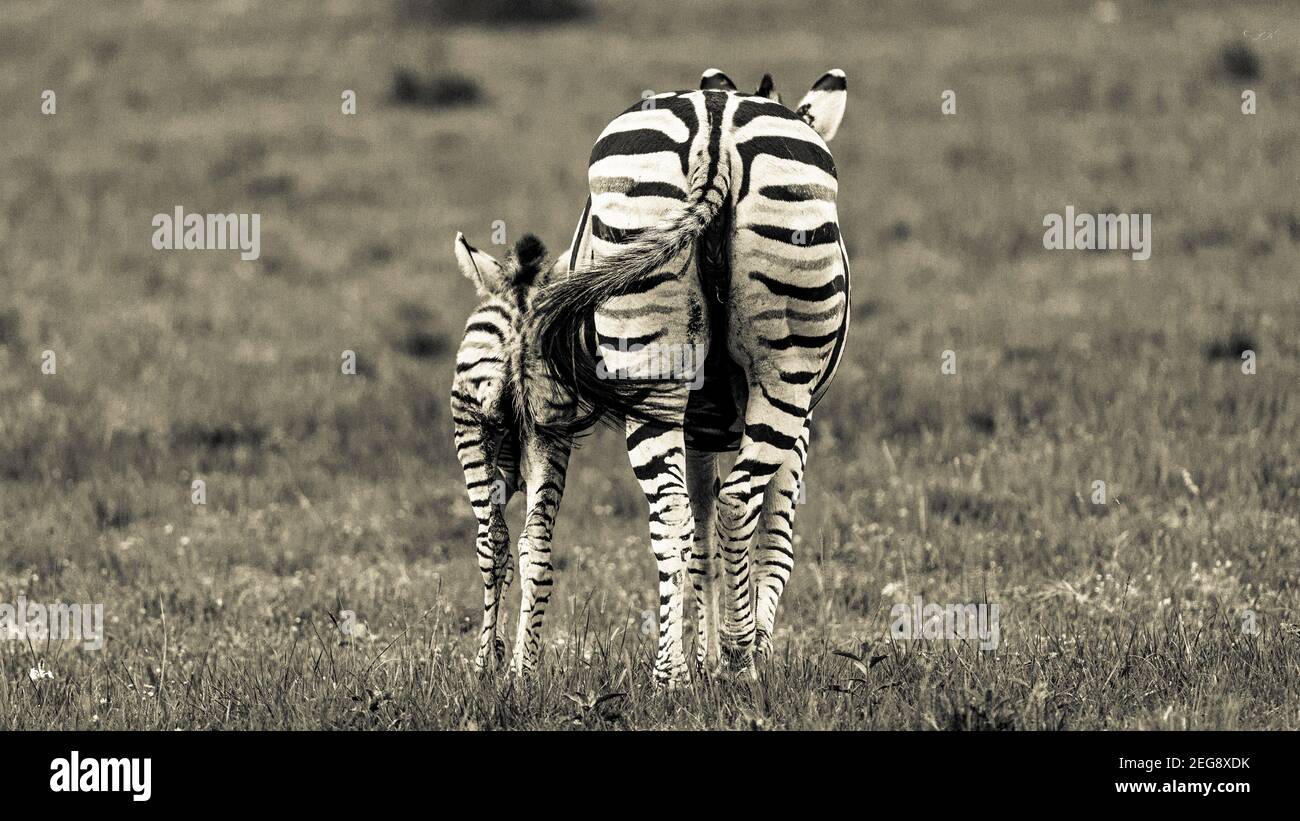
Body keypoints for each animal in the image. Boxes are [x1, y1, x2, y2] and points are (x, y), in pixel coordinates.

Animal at [452, 72, 847, 685]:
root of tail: (715, 130)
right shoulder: (797, 422)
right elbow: (773, 541)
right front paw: (740, 651)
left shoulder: (700, 427)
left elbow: (700, 538)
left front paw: (705, 659)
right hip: (785, 375)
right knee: (735, 505)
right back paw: (740, 657)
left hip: (638, 380)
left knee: (653, 518)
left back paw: (654, 674)